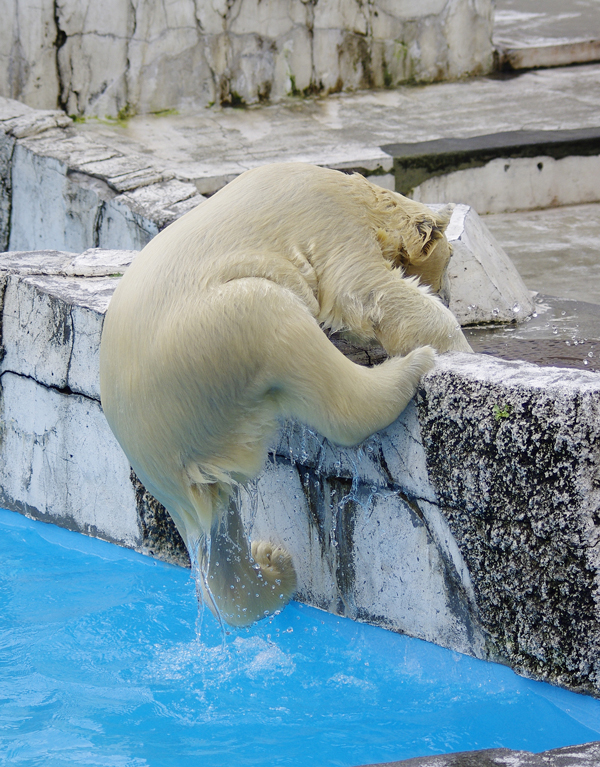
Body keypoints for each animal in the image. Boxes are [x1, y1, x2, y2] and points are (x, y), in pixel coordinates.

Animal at [99, 162, 474, 624]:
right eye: (450, 261)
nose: (449, 295)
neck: (360, 197)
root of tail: (171, 476)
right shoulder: (332, 223)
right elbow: (365, 289)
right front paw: (454, 344)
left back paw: (271, 564)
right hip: (206, 340)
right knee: (278, 319)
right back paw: (410, 368)